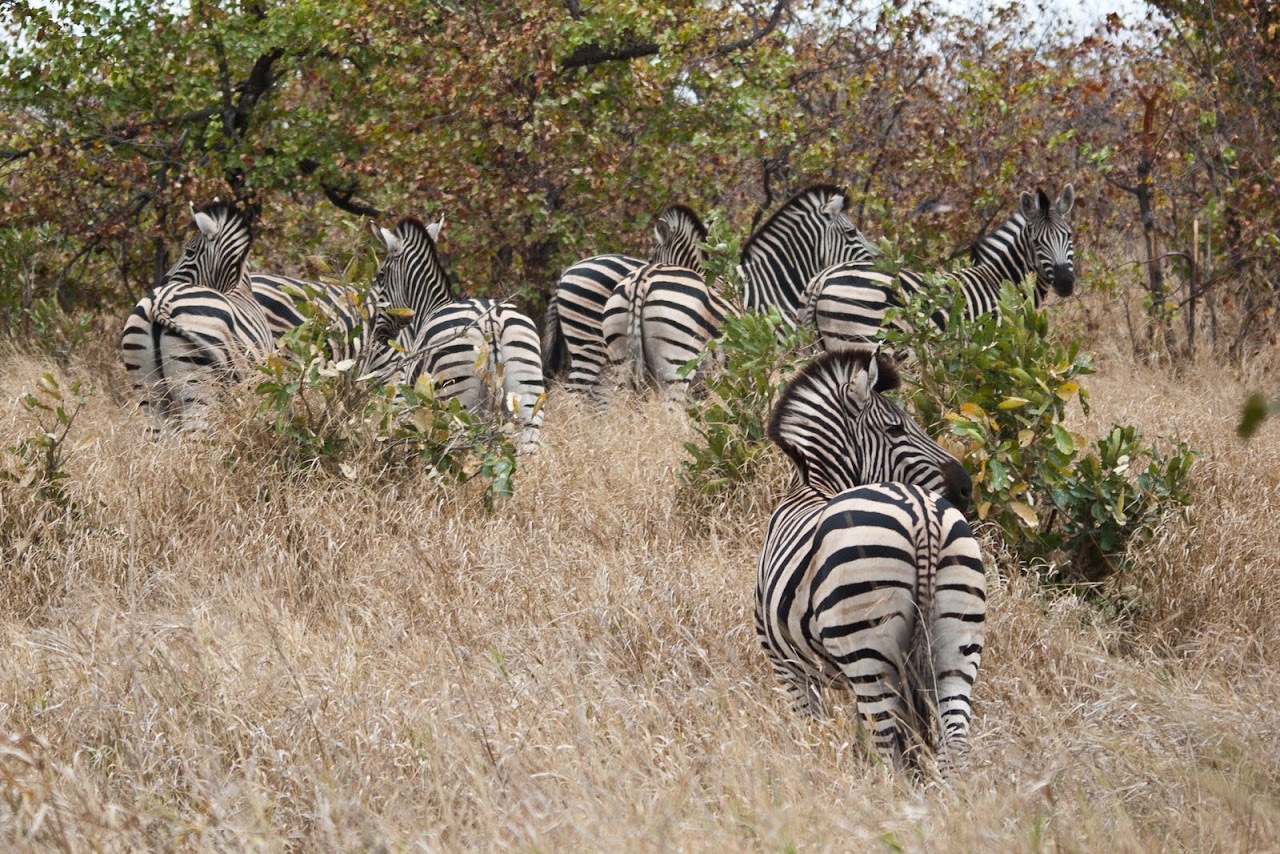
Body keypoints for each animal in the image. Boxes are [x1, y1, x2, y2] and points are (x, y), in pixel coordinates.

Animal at [120, 201, 274, 435]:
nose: (163, 281)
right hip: (196, 387)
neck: (239, 287)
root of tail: (158, 304)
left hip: (148, 390)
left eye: (189, 251)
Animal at [370, 218, 547, 451]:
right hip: (527, 399)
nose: (378, 333)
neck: (430, 307)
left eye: (381, 275)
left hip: (455, 402)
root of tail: (491, 321)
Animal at [756, 347, 985, 774]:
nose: (965, 487)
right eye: (896, 429)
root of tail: (921, 512)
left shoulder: (787, 666)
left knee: (888, 752)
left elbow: (813, 730)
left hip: (866, 648)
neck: (814, 486)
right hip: (957, 643)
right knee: (953, 746)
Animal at [798, 186, 1075, 350]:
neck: (1000, 280)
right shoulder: (993, 344)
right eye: (1037, 242)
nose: (1066, 283)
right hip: (862, 337)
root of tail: (823, 277)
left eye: (1070, 236)